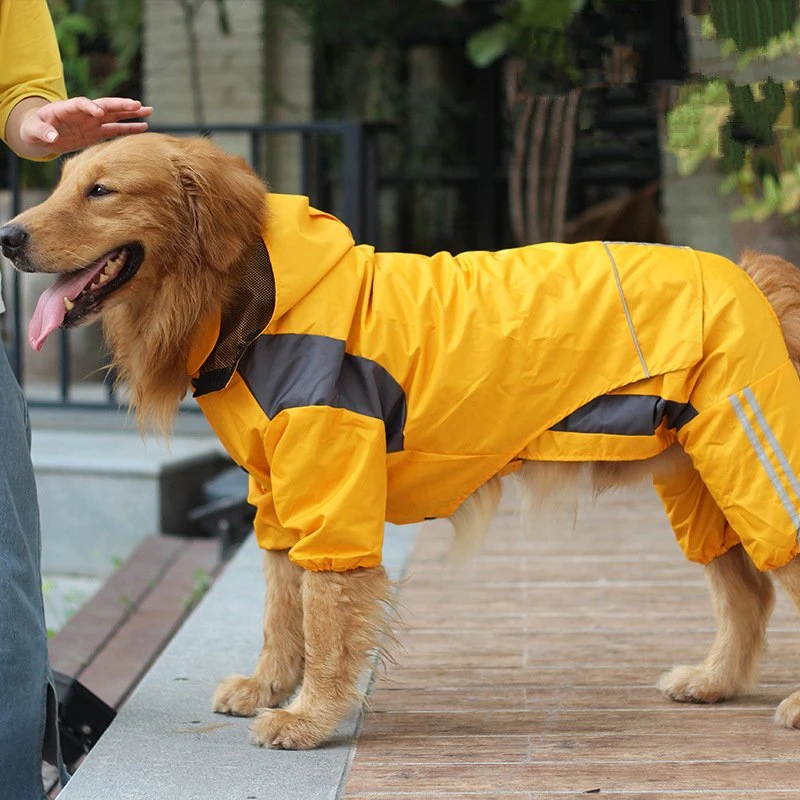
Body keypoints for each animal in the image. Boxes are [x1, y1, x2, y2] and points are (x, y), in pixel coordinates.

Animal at [4, 131, 800, 752]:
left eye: (100, 190)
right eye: (61, 183)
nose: (7, 237)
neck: (254, 305)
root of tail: (753, 276)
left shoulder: (333, 489)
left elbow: (325, 618)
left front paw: (308, 718)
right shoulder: (277, 495)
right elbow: (281, 607)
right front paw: (270, 685)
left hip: (759, 468)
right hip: (708, 483)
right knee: (748, 591)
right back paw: (716, 680)